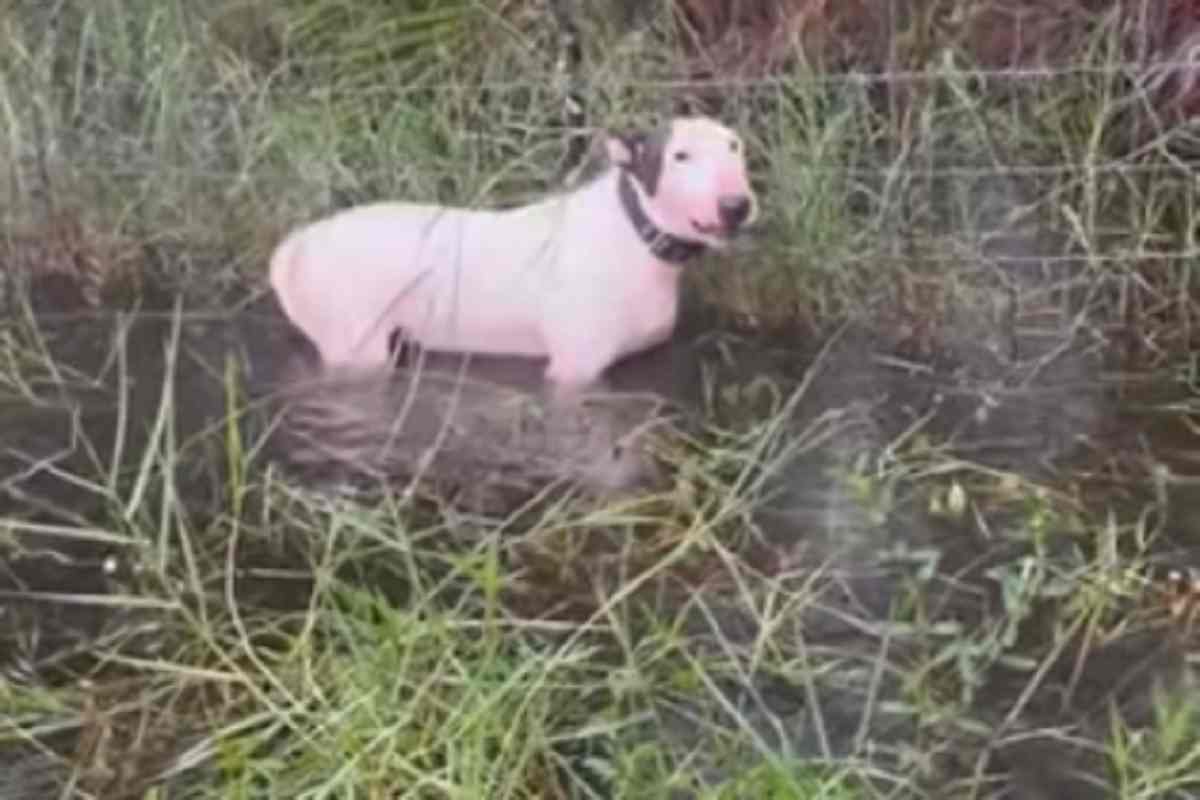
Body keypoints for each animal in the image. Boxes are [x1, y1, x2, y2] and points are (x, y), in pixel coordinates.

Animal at [272, 116, 758, 400]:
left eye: (735, 146)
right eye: (680, 156)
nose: (736, 206)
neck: (635, 234)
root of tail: (296, 246)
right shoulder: (575, 370)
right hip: (355, 346)